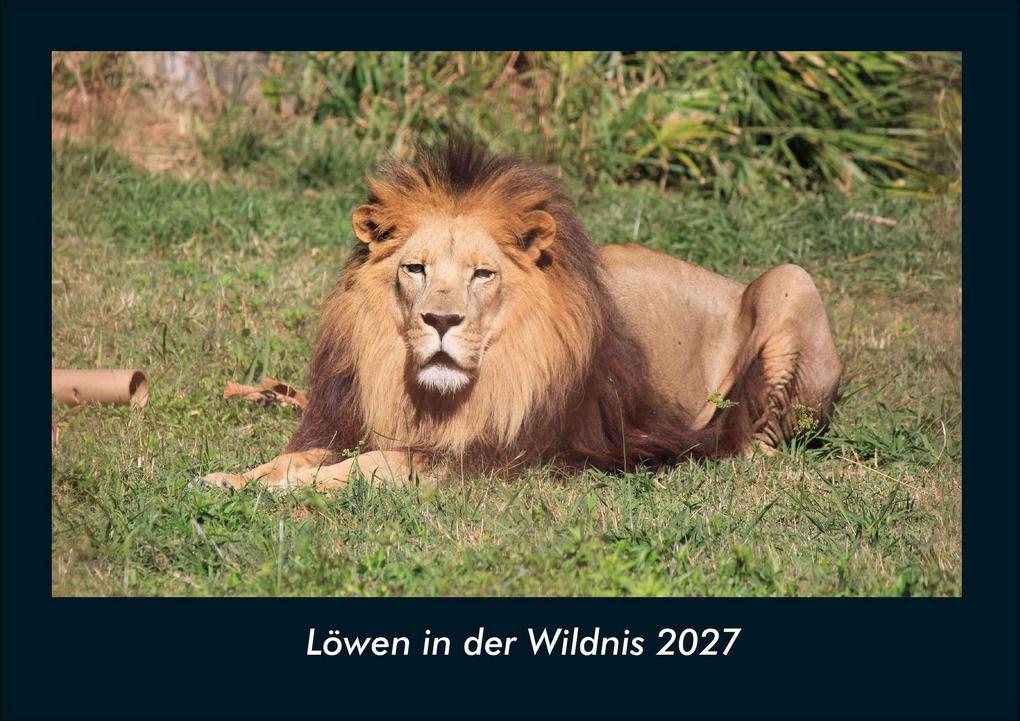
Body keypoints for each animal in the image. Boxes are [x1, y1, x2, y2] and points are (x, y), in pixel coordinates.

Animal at [203, 137, 841, 492]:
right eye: (416, 269)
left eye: (483, 275)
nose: (441, 321)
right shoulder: (351, 421)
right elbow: (297, 455)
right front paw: (233, 478)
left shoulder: (506, 458)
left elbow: (377, 464)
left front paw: (294, 488)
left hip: (792, 282)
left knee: (761, 439)